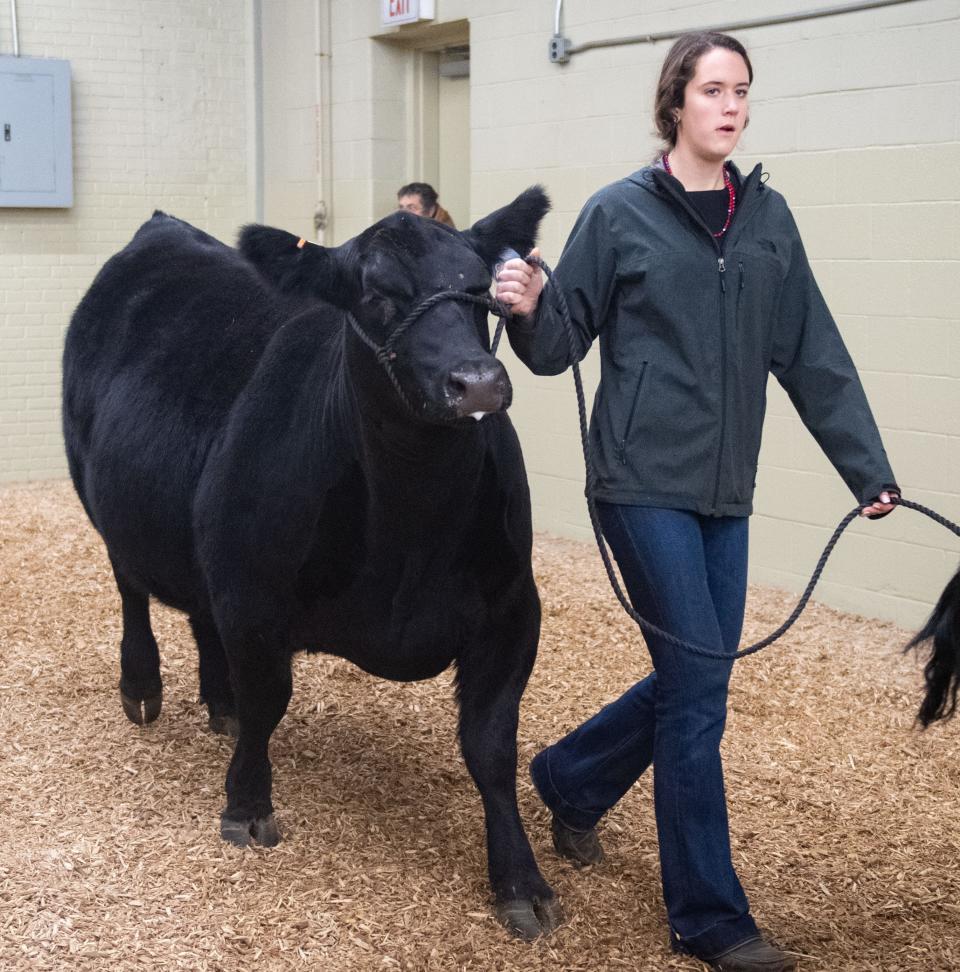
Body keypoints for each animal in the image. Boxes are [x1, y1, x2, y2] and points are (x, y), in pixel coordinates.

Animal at [62, 186, 564, 936]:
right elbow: (270, 699)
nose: (476, 383)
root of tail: (161, 228)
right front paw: (247, 804)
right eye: (376, 295)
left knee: (201, 619)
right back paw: (143, 686)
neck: (412, 528)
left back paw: (218, 702)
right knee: (131, 591)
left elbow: (492, 745)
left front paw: (520, 880)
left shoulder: (511, 609)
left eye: (481, 290)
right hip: (104, 502)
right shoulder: (253, 595)